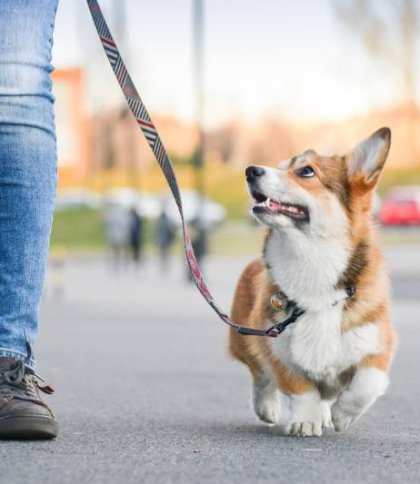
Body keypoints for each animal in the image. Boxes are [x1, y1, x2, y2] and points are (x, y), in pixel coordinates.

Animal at [230, 126, 398, 436]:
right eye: (281, 166)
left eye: (306, 171)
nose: (251, 170)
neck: (312, 261)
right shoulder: (276, 348)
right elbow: (300, 389)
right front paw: (306, 421)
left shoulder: (378, 344)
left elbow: (366, 383)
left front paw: (343, 415)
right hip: (243, 338)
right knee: (260, 376)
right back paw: (268, 408)